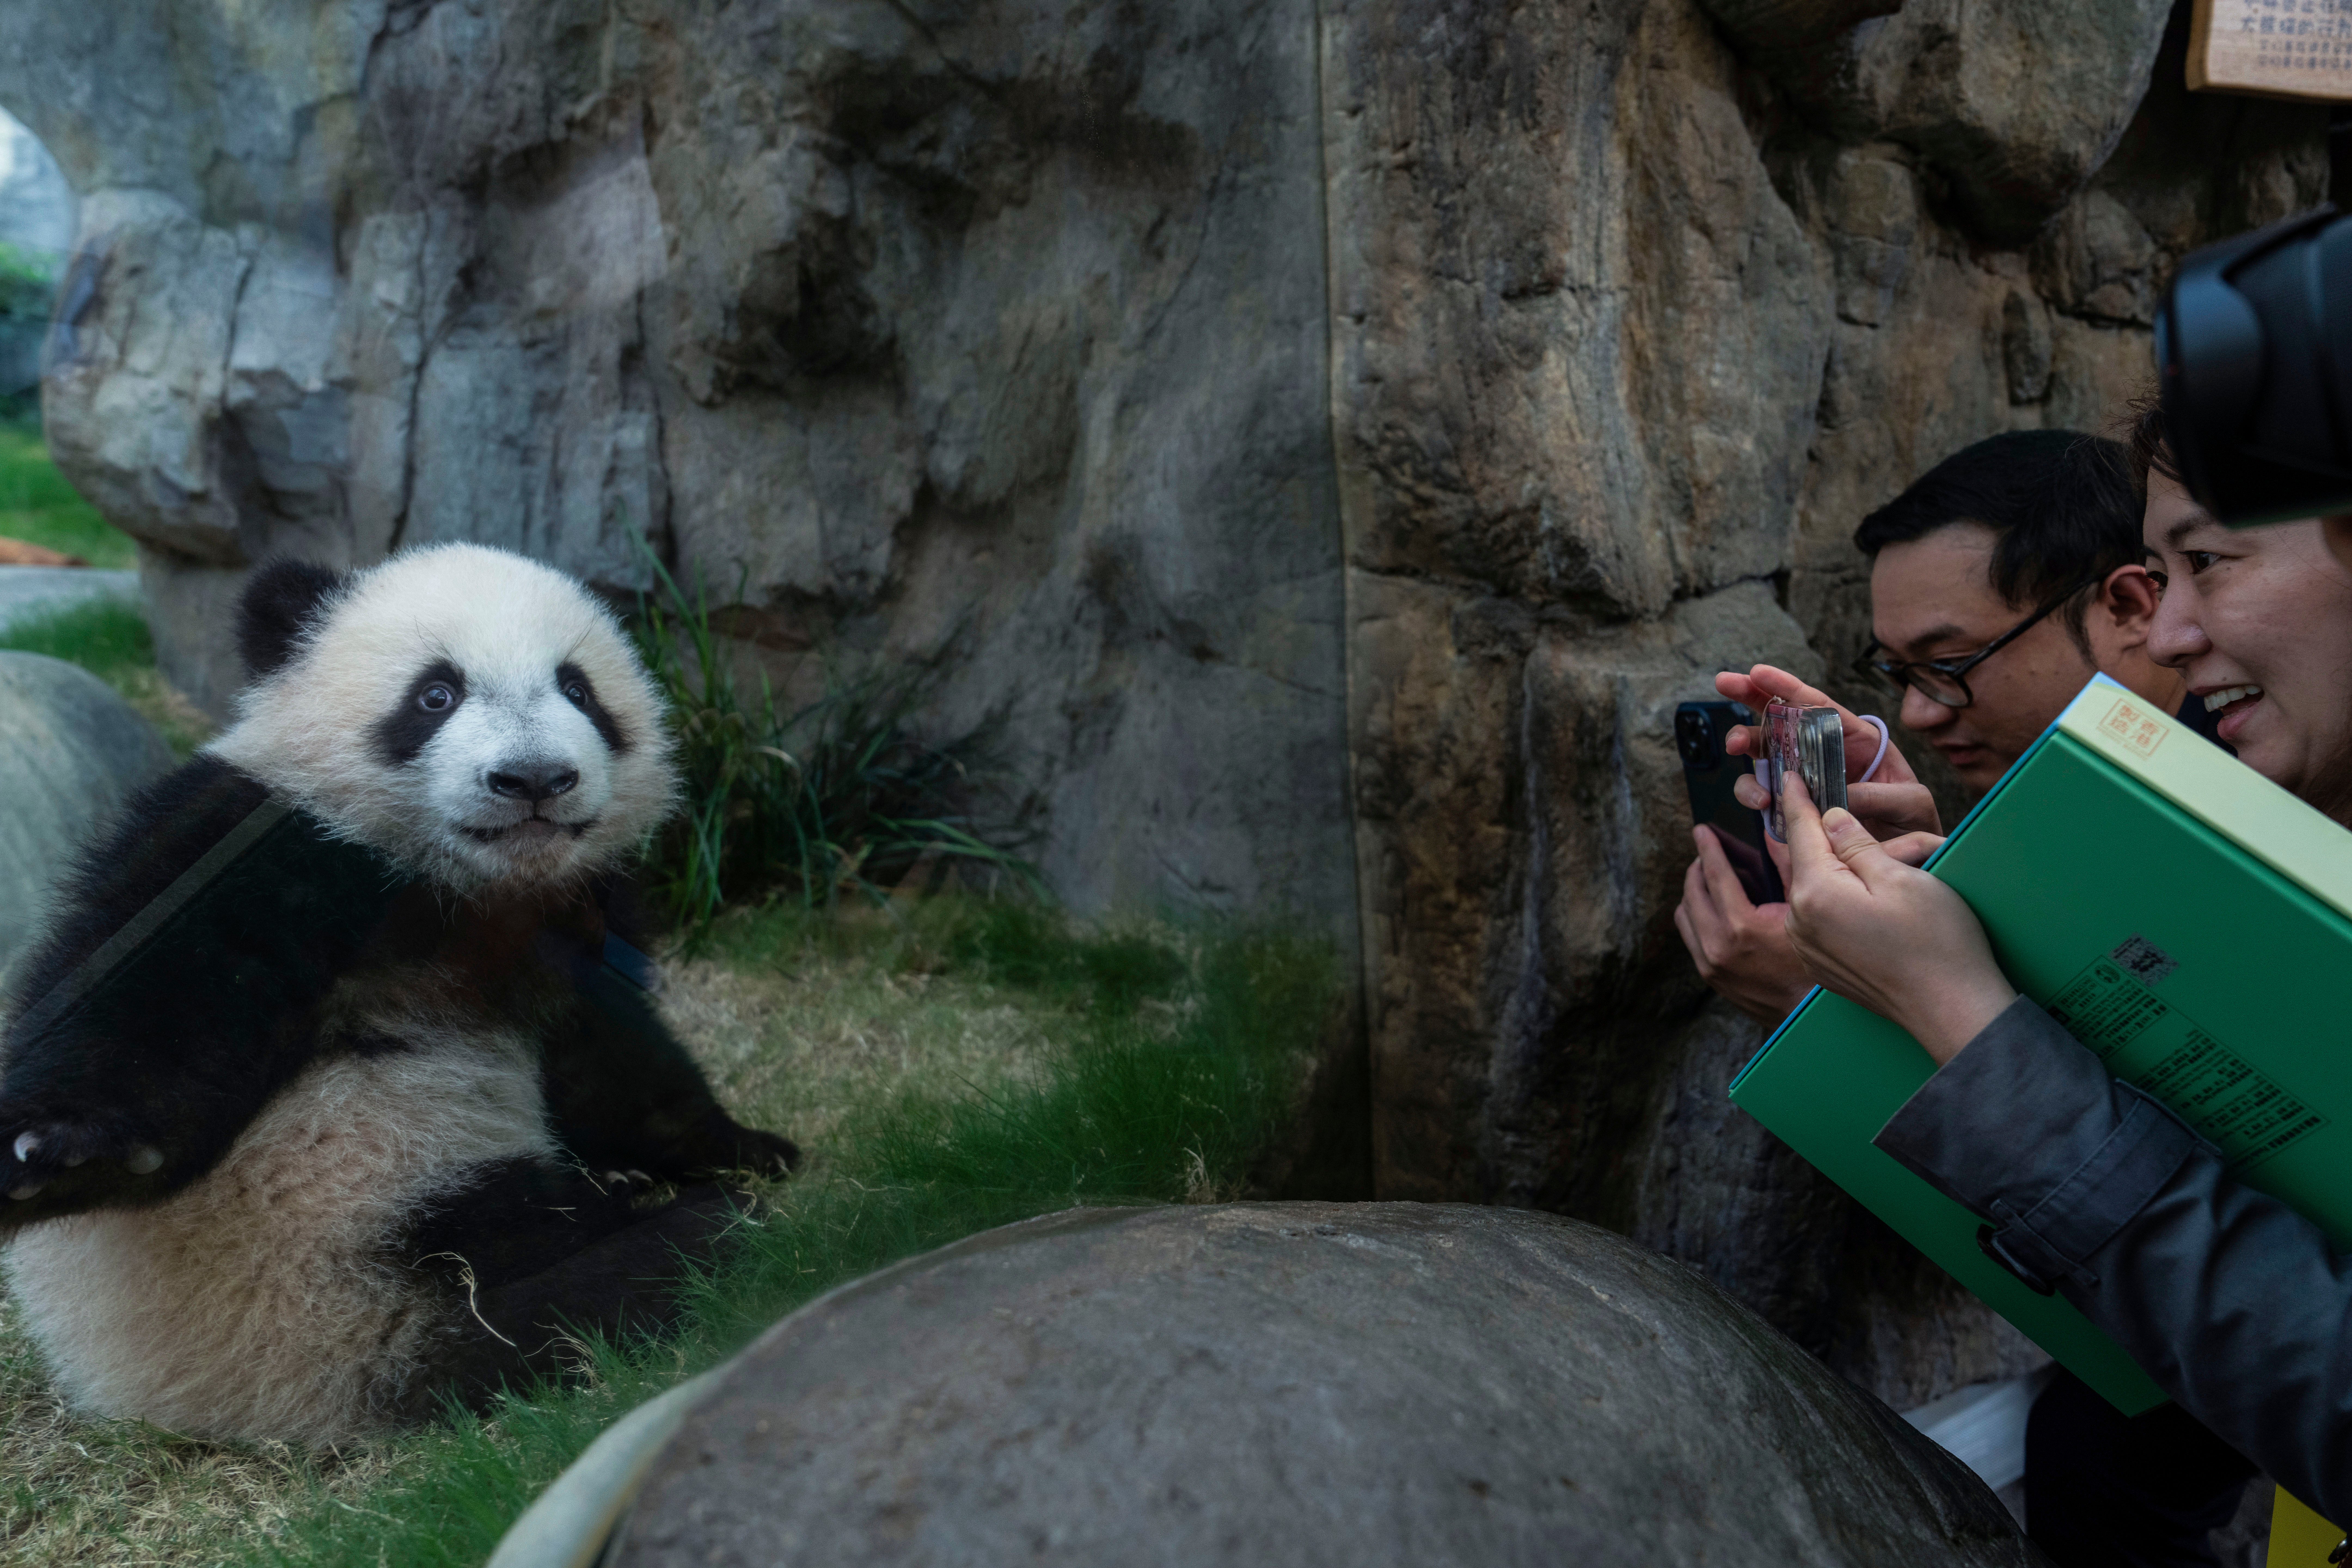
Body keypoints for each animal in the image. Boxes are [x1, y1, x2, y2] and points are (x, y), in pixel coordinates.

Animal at [0, 543, 798, 1449]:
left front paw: (742, 1144)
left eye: (579, 690)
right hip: (365, 1235)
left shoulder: (570, 918)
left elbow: (611, 1060)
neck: (467, 887)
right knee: (573, 1262)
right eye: (435, 695)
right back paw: (654, 1230)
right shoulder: (268, 849)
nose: (535, 779)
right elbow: (153, 1024)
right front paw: (58, 1151)